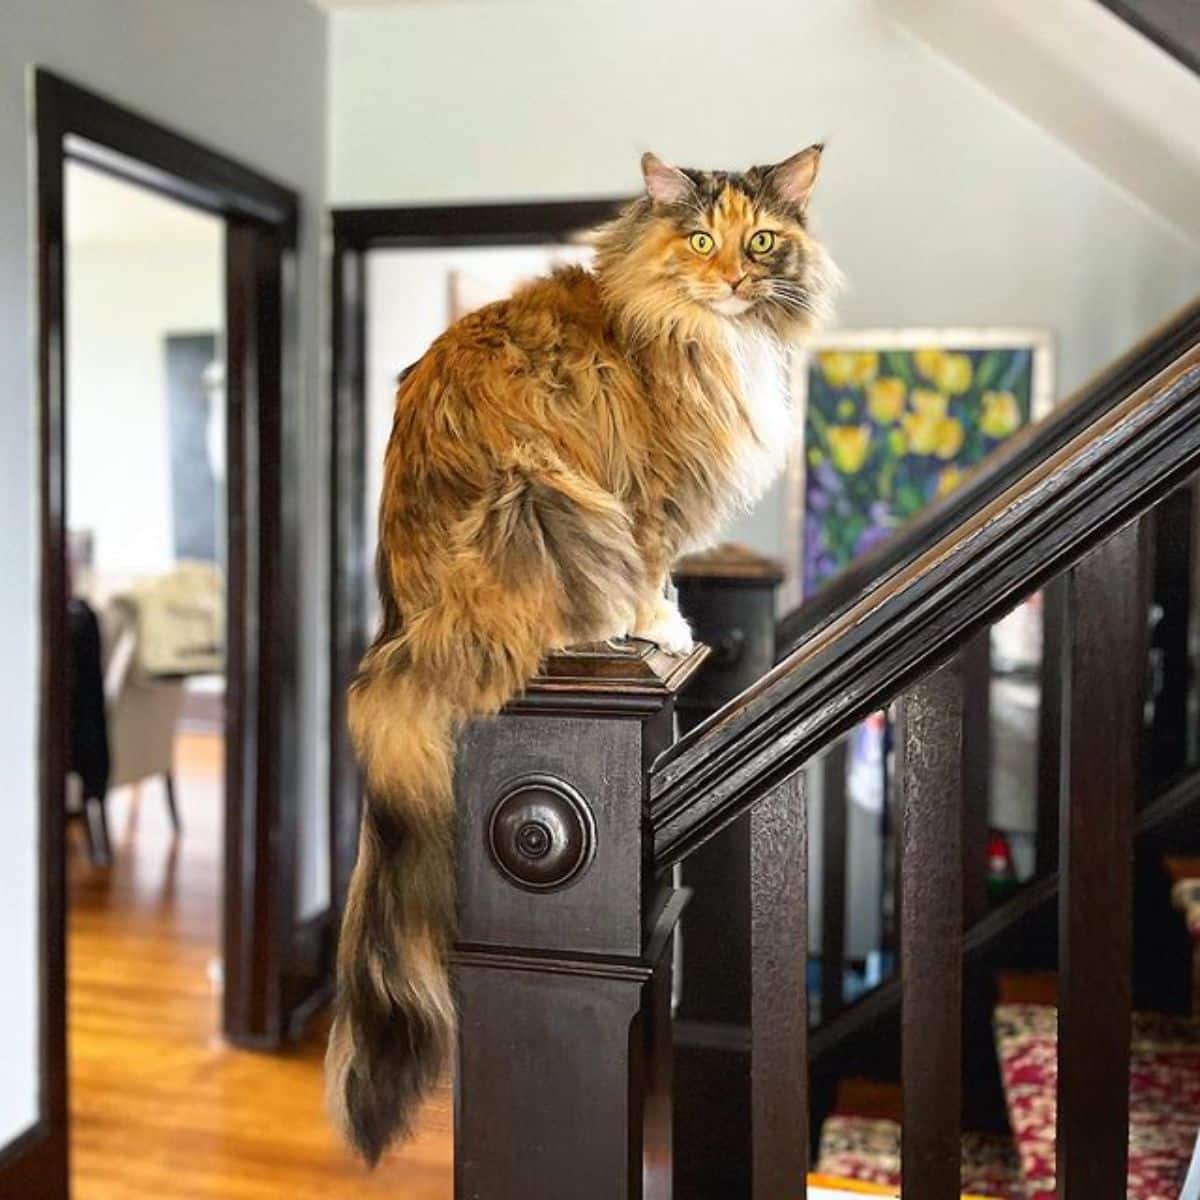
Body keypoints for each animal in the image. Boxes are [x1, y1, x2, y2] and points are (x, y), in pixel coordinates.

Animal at [324, 142, 840, 1161]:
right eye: (700, 240)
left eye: (761, 241)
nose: (733, 277)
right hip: (548, 494)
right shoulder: (646, 497)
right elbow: (653, 566)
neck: (695, 325)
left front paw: (670, 619)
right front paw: (662, 626)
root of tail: (402, 624)